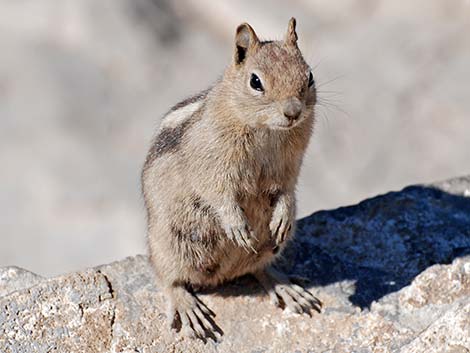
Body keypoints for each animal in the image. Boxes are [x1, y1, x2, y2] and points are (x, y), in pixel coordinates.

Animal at [141, 17, 322, 340]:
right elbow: (218, 192)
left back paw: (284, 286)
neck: (266, 129)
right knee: (168, 279)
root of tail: (220, 277)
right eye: (256, 82)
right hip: (168, 242)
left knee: (259, 266)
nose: (293, 112)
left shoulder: (290, 167)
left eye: (310, 76)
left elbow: (288, 189)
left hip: (268, 247)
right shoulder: (212, 164)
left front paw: (283, 215)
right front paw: (236, 225)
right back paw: (188, 307)